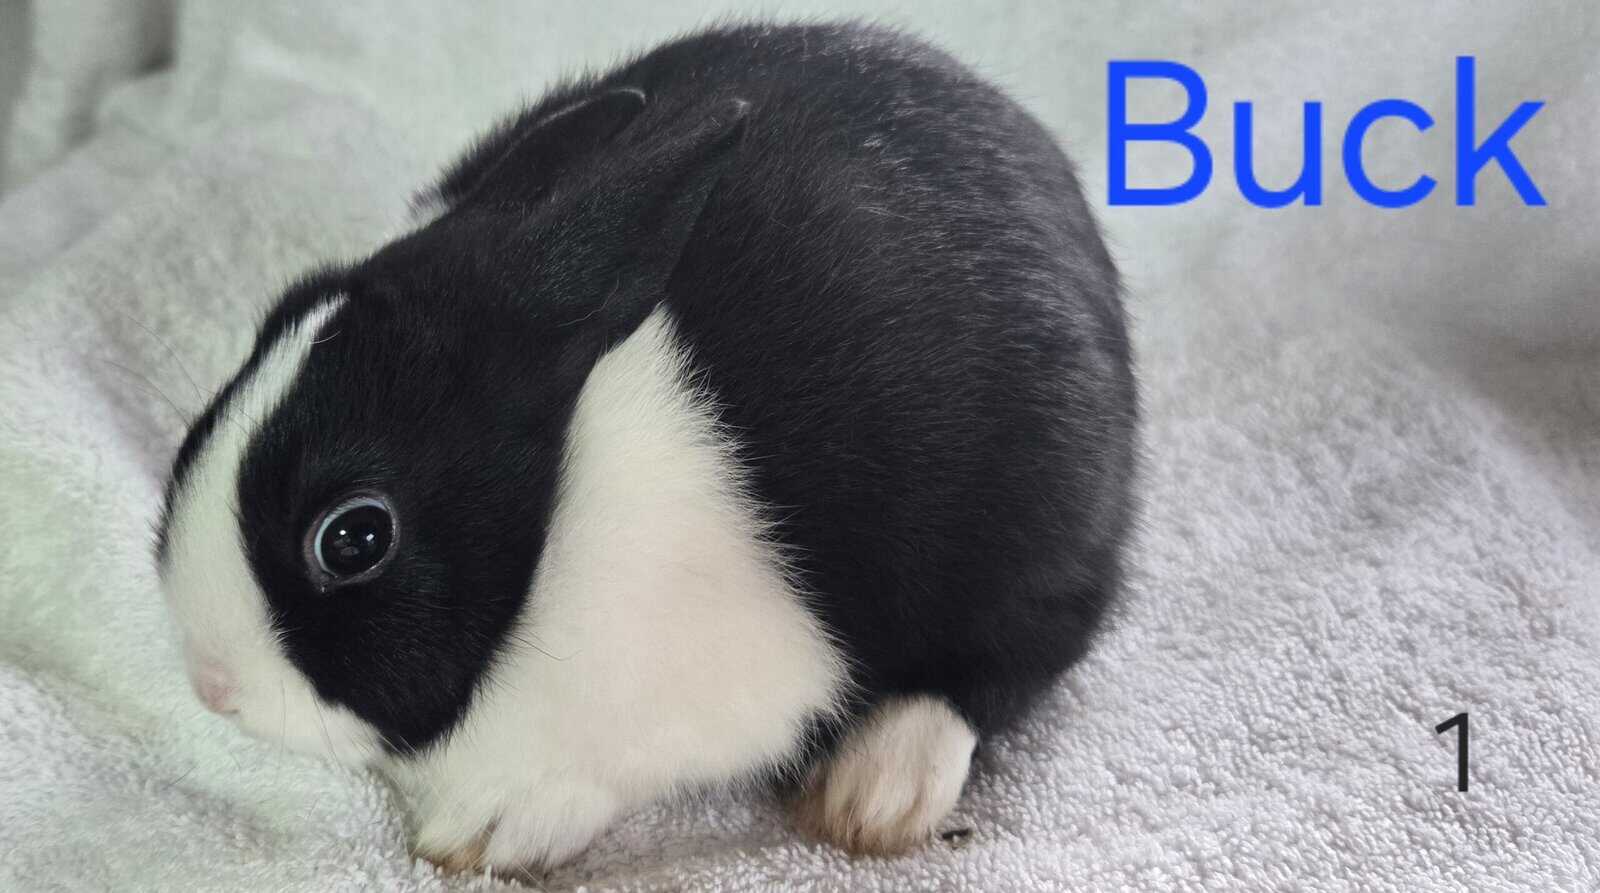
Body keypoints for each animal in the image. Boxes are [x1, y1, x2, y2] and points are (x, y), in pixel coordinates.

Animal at [155, 21, 1137, 874]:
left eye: (354, 536)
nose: (210, 683)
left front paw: (490, 830)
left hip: (1037, 535)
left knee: (1003, 667)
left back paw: (879, 788)